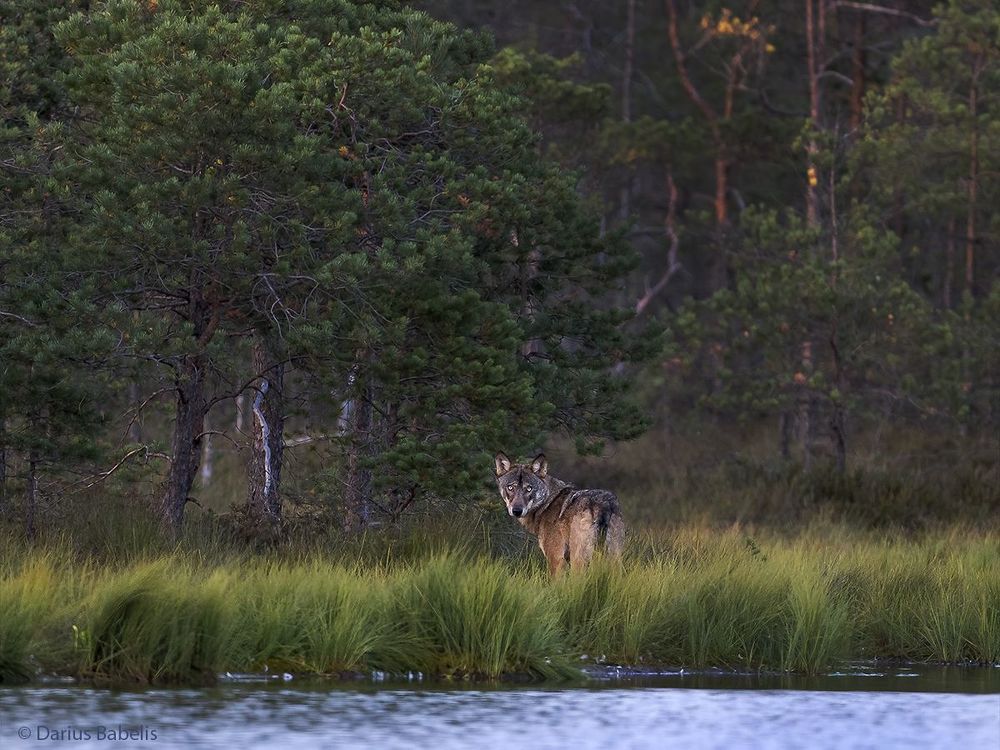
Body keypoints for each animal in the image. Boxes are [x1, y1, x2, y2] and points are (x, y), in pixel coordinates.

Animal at [493, 452, 625, 575]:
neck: (547, 504)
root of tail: (604, 504)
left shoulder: (556, 559)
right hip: (614, 559)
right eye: (510, 488)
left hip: (578, 561)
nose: (517, 510)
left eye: (529, 489)